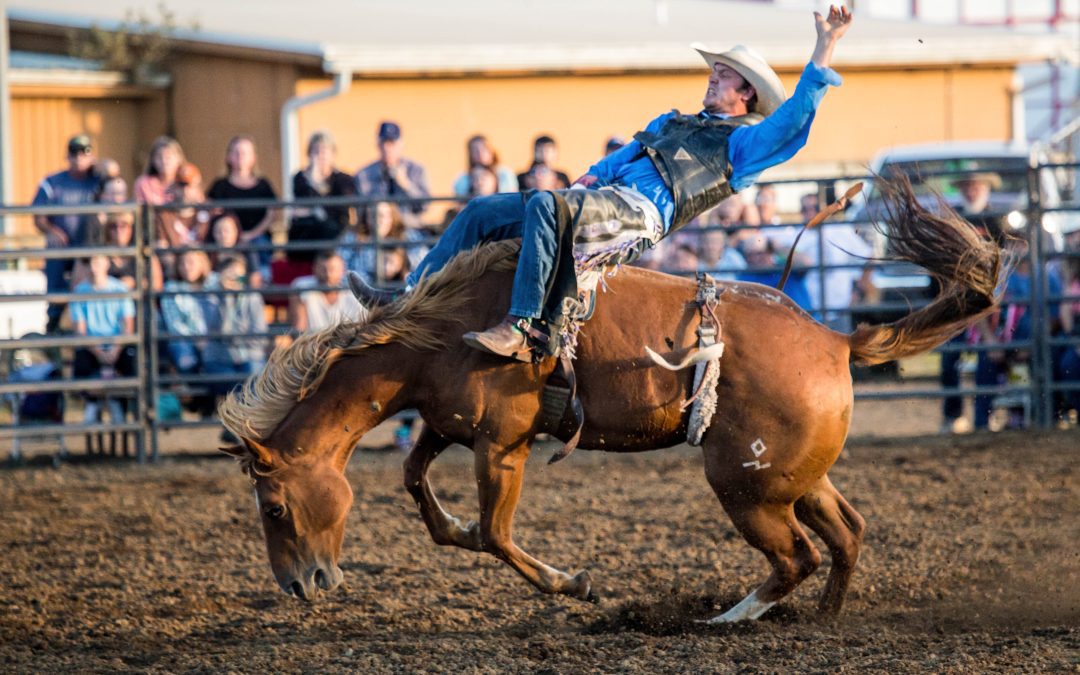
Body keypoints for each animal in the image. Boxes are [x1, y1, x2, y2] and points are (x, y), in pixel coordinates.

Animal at [219, 180, 1002, 622]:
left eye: (274, 508)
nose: (301, 585)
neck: (439, 335)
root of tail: (837, 339)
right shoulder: (446, 425)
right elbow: (419, 486)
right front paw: (455, 528)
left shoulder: (503, 445)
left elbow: (495, 534)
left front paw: (578, 584)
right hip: (795, 477)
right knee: (846, 534)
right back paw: (823, 618)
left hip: (745, 487)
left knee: (797, 558)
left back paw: (723, 620)